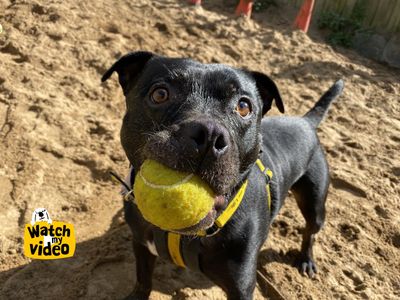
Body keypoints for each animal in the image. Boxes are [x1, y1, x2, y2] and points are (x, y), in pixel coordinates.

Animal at [101, 50, 342, 298]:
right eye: (160, 94)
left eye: (244, 106)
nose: (209, 134)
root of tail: (305, 121)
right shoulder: (141, 244)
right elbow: (143, 279)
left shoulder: (241, 287)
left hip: (314, 205)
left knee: (310, 233)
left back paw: (306, 259)